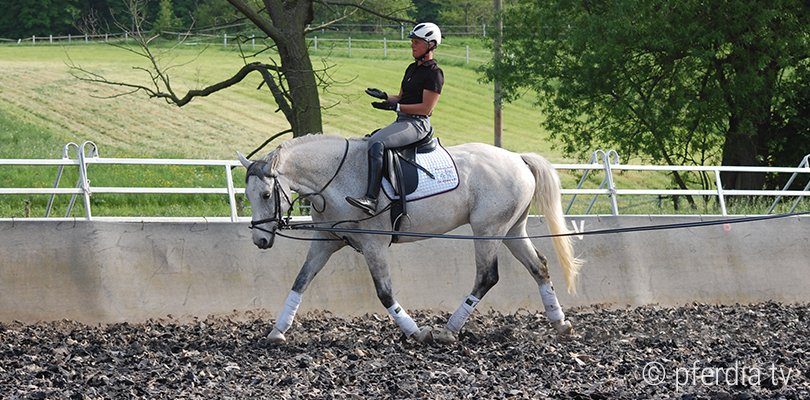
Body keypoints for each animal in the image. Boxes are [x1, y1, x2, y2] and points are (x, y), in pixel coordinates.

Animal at [237, 134, 584, 344]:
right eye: (248, 195)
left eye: (266, 194)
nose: (260, 241)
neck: (335, 179)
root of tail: (518, 158)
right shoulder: (325, 241)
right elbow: (300, 281)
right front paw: (277, 331)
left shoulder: (374, 245)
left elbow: (384, 293)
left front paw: (416, 332)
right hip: (511, 230)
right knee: (539, 267)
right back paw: (560, 323)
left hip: (488, 231)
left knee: (487, 276)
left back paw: (448, 330)